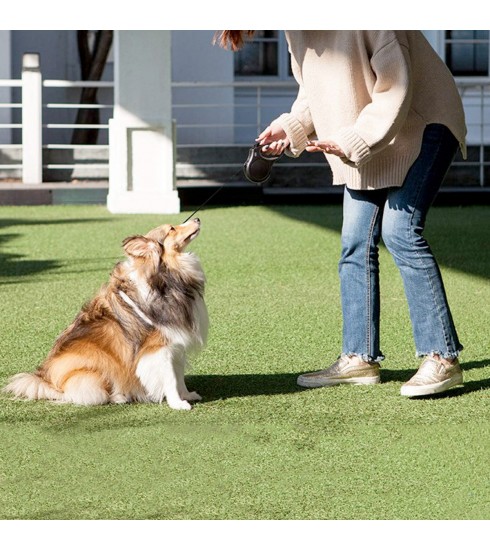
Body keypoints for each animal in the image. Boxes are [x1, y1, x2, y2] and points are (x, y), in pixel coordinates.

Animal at [2, 218, 208, 412]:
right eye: (171, 229)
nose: (197, 219)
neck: (166, 276)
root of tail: (46, 381)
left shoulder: (176, 344)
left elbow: (178, 374)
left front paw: (187, 395)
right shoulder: (158, 348)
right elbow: (170, 378)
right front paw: (178, 404)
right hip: (96, 370)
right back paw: (118, 397)